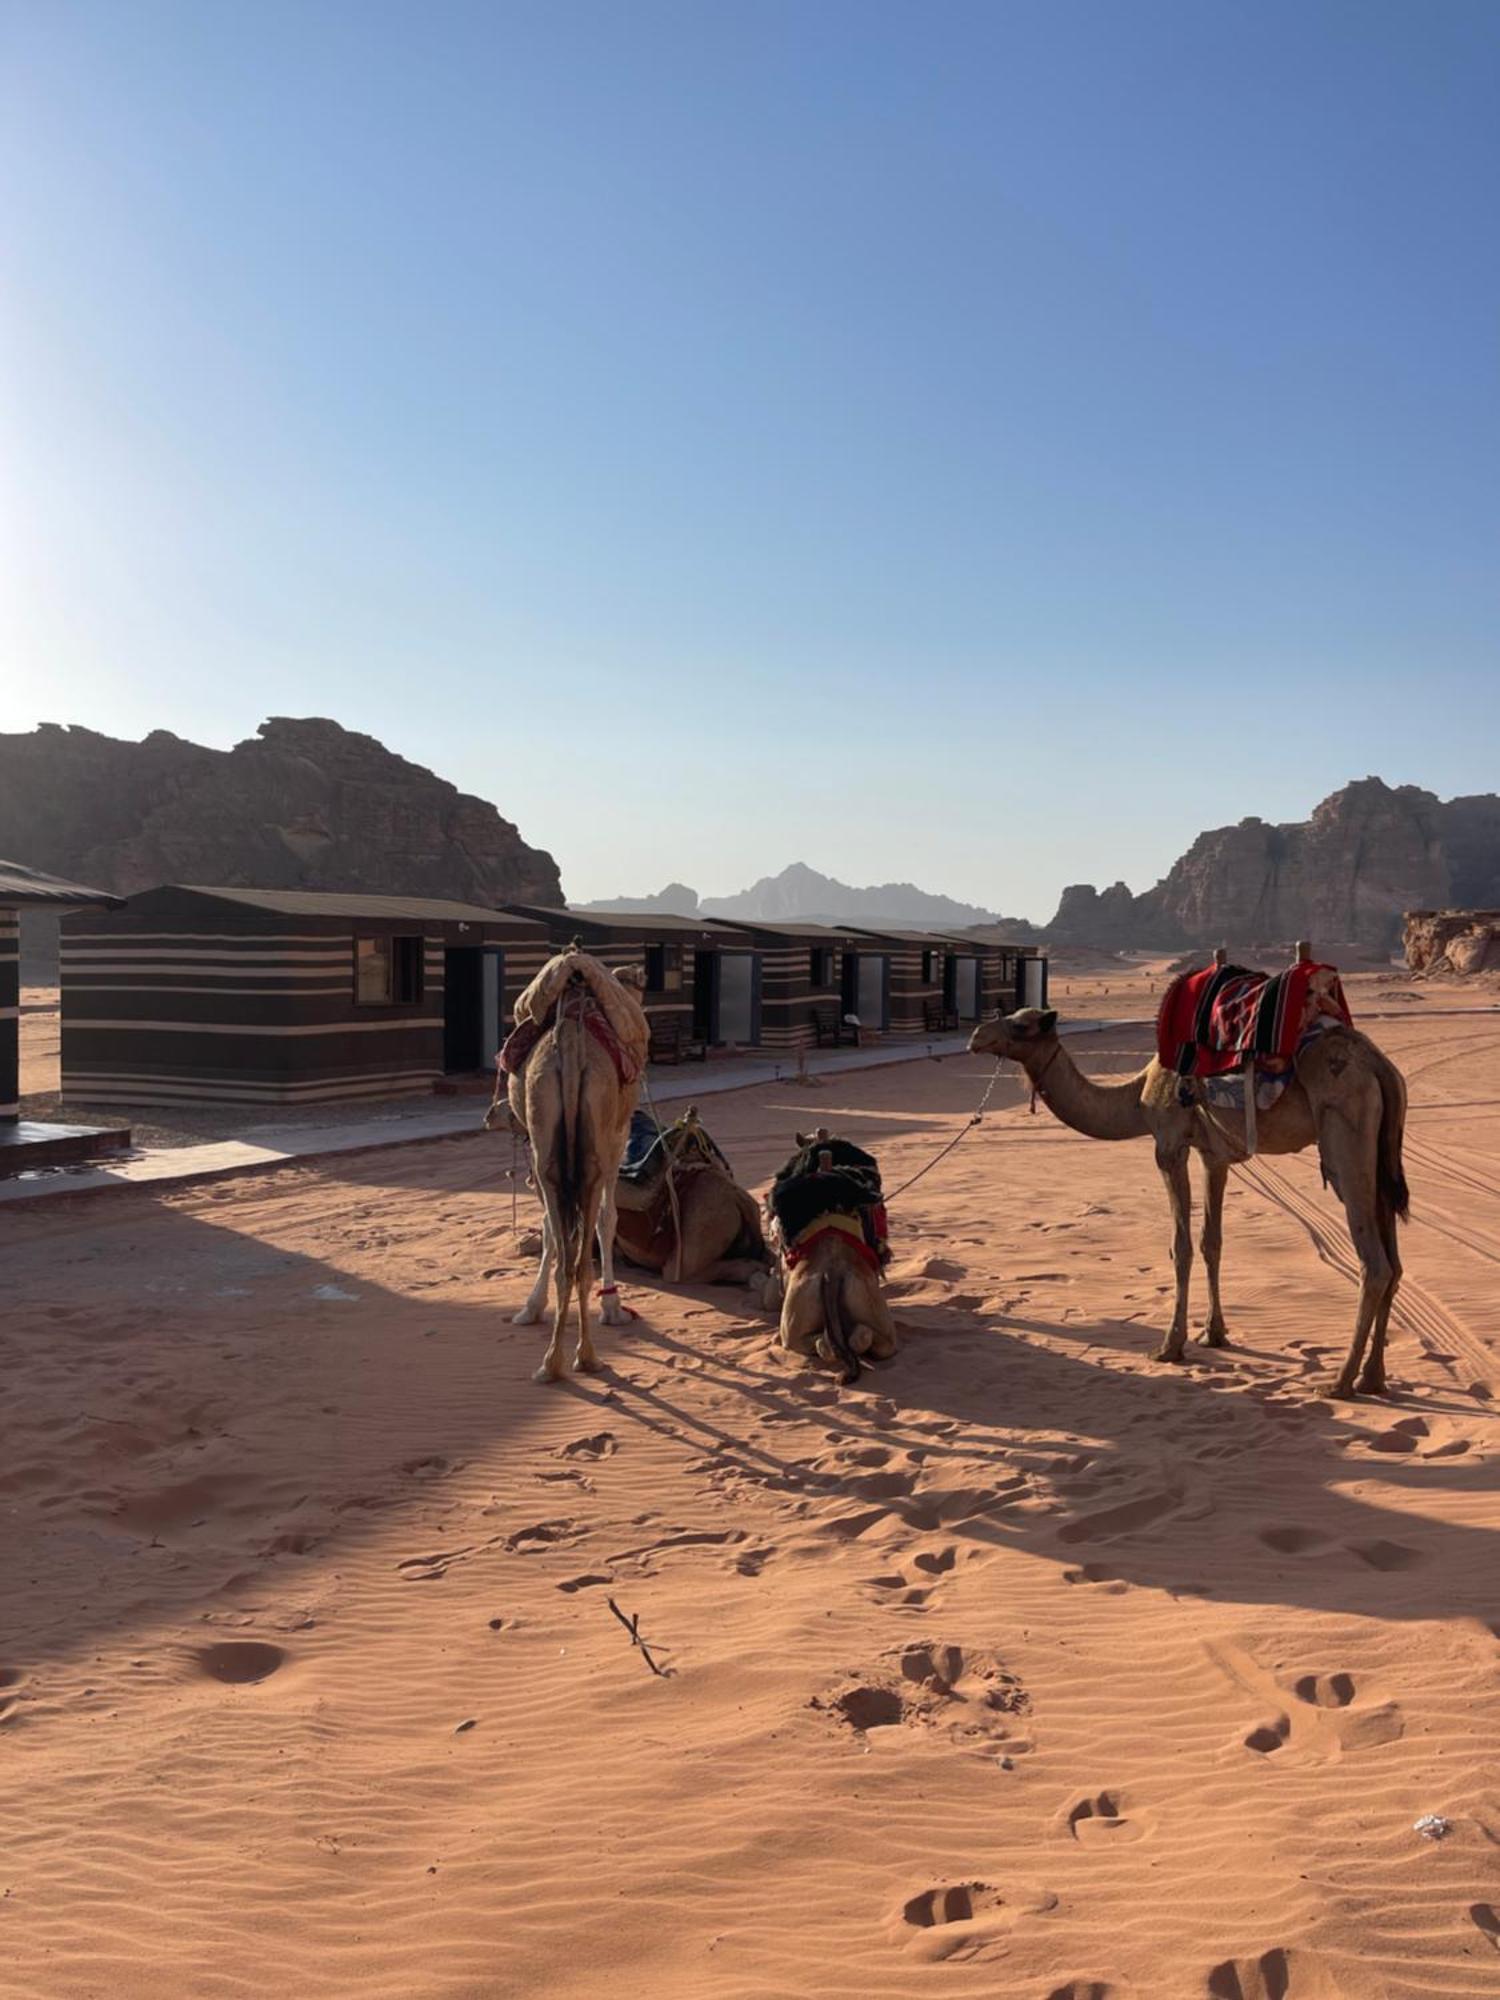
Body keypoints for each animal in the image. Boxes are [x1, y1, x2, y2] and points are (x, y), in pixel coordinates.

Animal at [490, 948, 648, 1384]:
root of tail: (572, 1044)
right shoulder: (617, 1139)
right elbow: (608, 1220)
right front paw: (613, 1308)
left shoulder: (543, 1148)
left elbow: (550, 1227)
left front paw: (531, 1307)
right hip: (594, 1150)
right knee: (579, 1252)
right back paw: (586, 1357)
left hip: (545, 1129)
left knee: (567, 1256)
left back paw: (553, 1363)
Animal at [976, 956, 1408, 1408]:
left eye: (1020, 1025)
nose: (976, 1037)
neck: (1138, 1096)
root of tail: (1379, 1066)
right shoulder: (1212, 1155)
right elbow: (1211, 1241)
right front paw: (1214, 1334)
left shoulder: (1169, 1144)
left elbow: (1180, 1245)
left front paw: (1170, 1345)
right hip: (1382, 1154)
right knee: (1394, 1263)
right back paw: (1373, 1378)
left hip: (1346, 1139)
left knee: (1375, 1264)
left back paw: (1340, 1382)